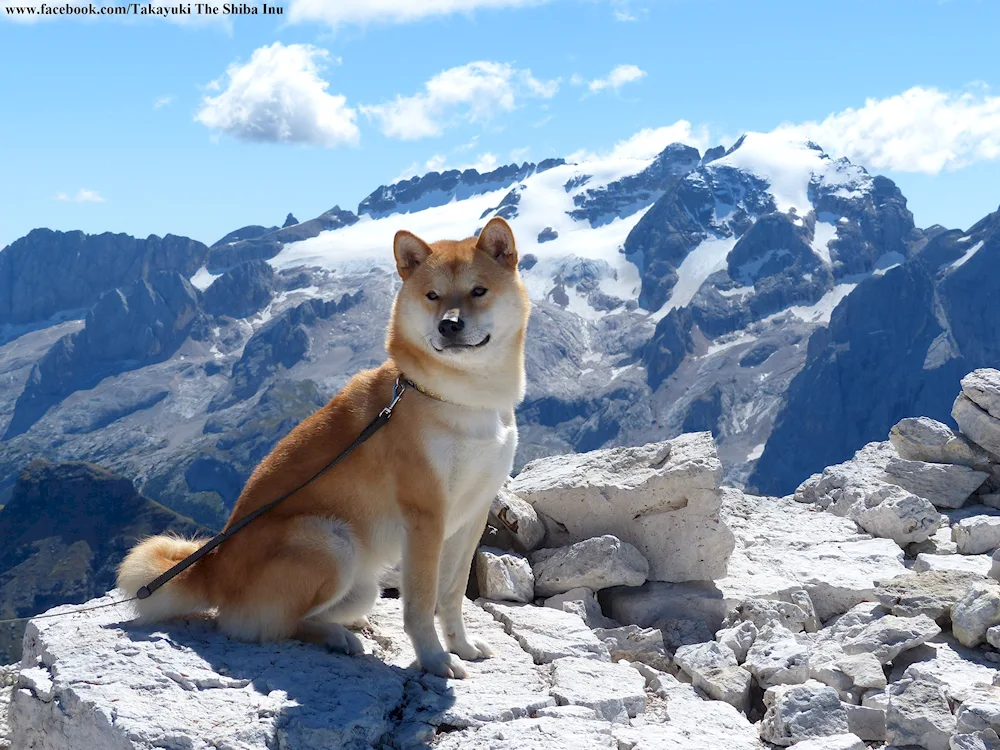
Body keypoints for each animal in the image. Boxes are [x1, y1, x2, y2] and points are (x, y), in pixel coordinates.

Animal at [117, 217, 532, 680]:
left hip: (363, 582)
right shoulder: (425, 518)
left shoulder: (470, 516)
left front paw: (461, 646)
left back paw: (346, 625)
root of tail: (213, 568)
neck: (461, 399)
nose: (449, 325)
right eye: (432, 295)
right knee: (273, 625)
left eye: (478, 290)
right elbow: (421, 604)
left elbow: (451, 595)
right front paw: (434, 658)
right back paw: (336, 637)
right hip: (331, 541)